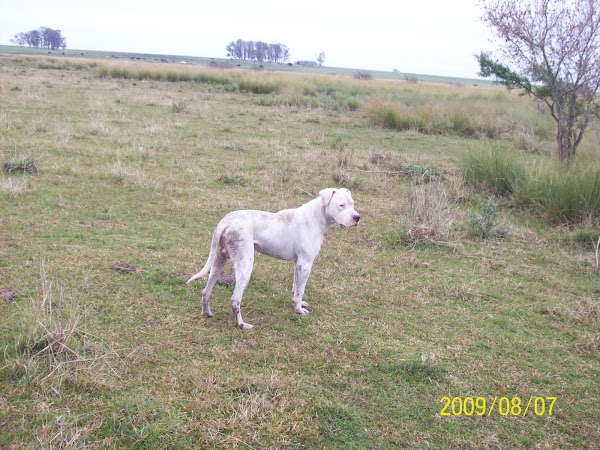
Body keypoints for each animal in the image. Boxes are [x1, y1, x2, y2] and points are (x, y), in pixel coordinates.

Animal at [185, 188, 358, 328]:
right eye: (341, 205)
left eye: (352, 204)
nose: (357, 217)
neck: (315, 218)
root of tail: (225, 222)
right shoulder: (305, 265)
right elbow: (300, 290)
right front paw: (298, 310)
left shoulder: (298, 264)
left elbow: (296, 288)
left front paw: (298, 303)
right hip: (245, 265)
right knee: (235, 299)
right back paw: (241, 324)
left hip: (218, 261)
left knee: (206, 291)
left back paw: (207, 313)